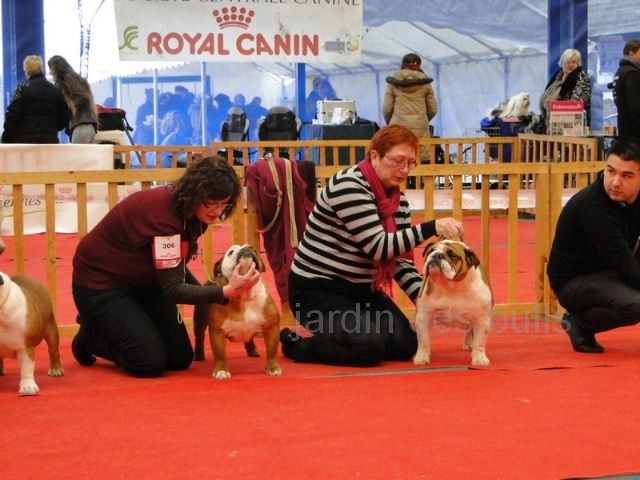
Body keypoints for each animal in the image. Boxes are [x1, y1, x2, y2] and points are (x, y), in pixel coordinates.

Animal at [192, 246, 282, 380]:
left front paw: (273, 368)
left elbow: (272, 350)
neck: (244, 296)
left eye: (253, 249)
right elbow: (220, 354)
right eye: (231, 252)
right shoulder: (217, 331)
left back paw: (253, 351)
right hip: (199, 322)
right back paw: (198, 356)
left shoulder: (272, 327)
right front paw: (221, 371)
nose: (247, 248)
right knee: (200, 337)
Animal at [416, 240, 496, 368]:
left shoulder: (482, 319)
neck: (451, 285)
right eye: (431, 251)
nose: (437, 255)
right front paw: (422, 357)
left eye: (452, 255)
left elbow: (479, 341)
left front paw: (479, 359)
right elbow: (424, 340)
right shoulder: (423, 317)